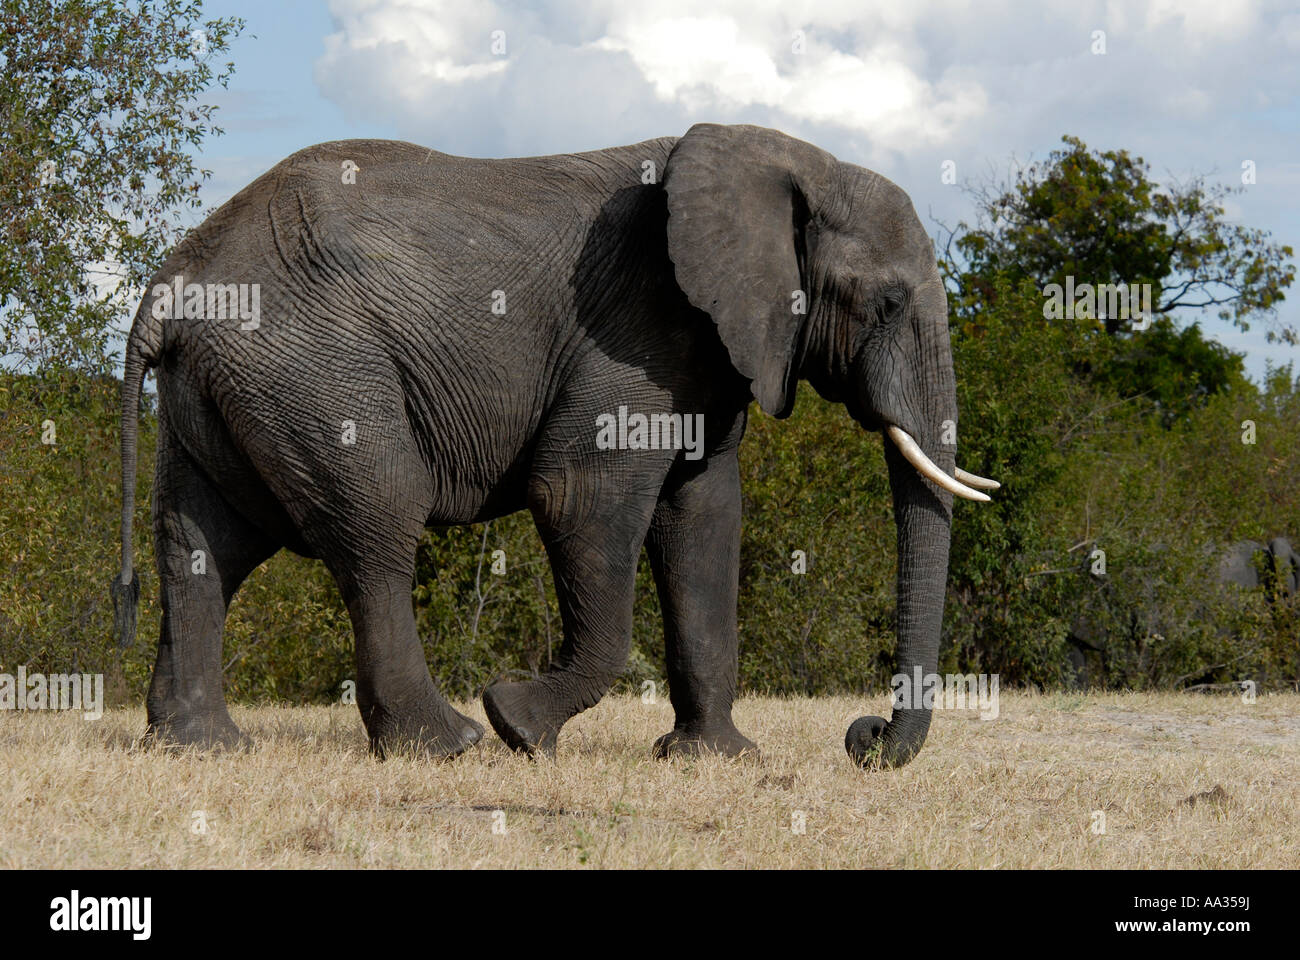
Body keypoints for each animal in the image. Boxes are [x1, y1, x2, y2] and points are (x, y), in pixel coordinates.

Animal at [110, 123, 998, 769]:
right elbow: (581, 497)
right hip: (313, 368)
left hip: (223, 389)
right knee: (376, 528)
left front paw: (713, 760)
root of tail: (170, 287)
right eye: (887, 303)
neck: (792, 159)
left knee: (203, 545)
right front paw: (520, 727)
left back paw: (200, 746)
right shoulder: (635, 332)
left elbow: (704, 520)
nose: (863, 738)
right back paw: (451, 745)